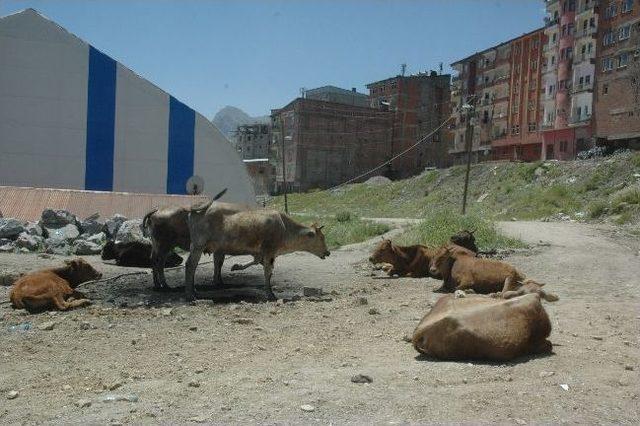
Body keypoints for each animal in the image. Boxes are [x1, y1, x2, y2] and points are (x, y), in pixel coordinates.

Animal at [182, 206, 328, 300]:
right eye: (321, 237)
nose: (328, 252)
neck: (285, 228)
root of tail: (195, 211)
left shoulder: (262, 252)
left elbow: (259, 263)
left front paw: (237, 266)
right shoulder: (269, 250)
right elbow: (267, 271)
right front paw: (270, 294)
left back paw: (194, 291)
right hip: (198, 245)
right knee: (190, 265)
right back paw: (190, 295)